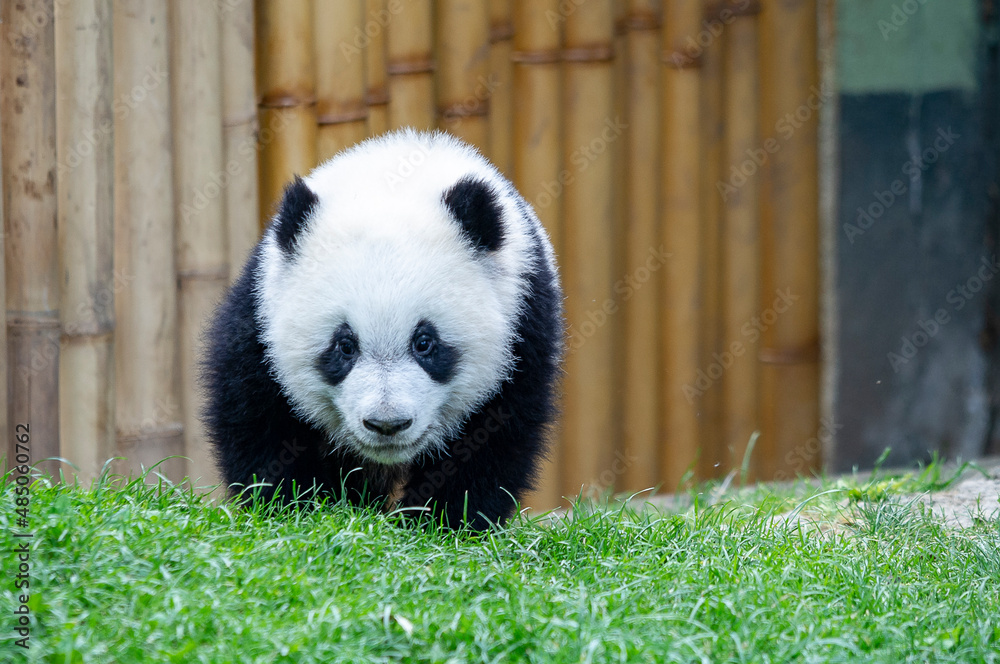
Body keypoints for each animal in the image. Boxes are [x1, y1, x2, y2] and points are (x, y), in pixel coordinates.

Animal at [202, 129, 563, 530]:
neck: (397, 174)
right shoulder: (262, 309)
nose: (387, 424)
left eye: (425, 343)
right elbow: (258, 415)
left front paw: (442, 520)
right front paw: (296, 507)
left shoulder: (523, 316)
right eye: (344, 346)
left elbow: (494, 431)